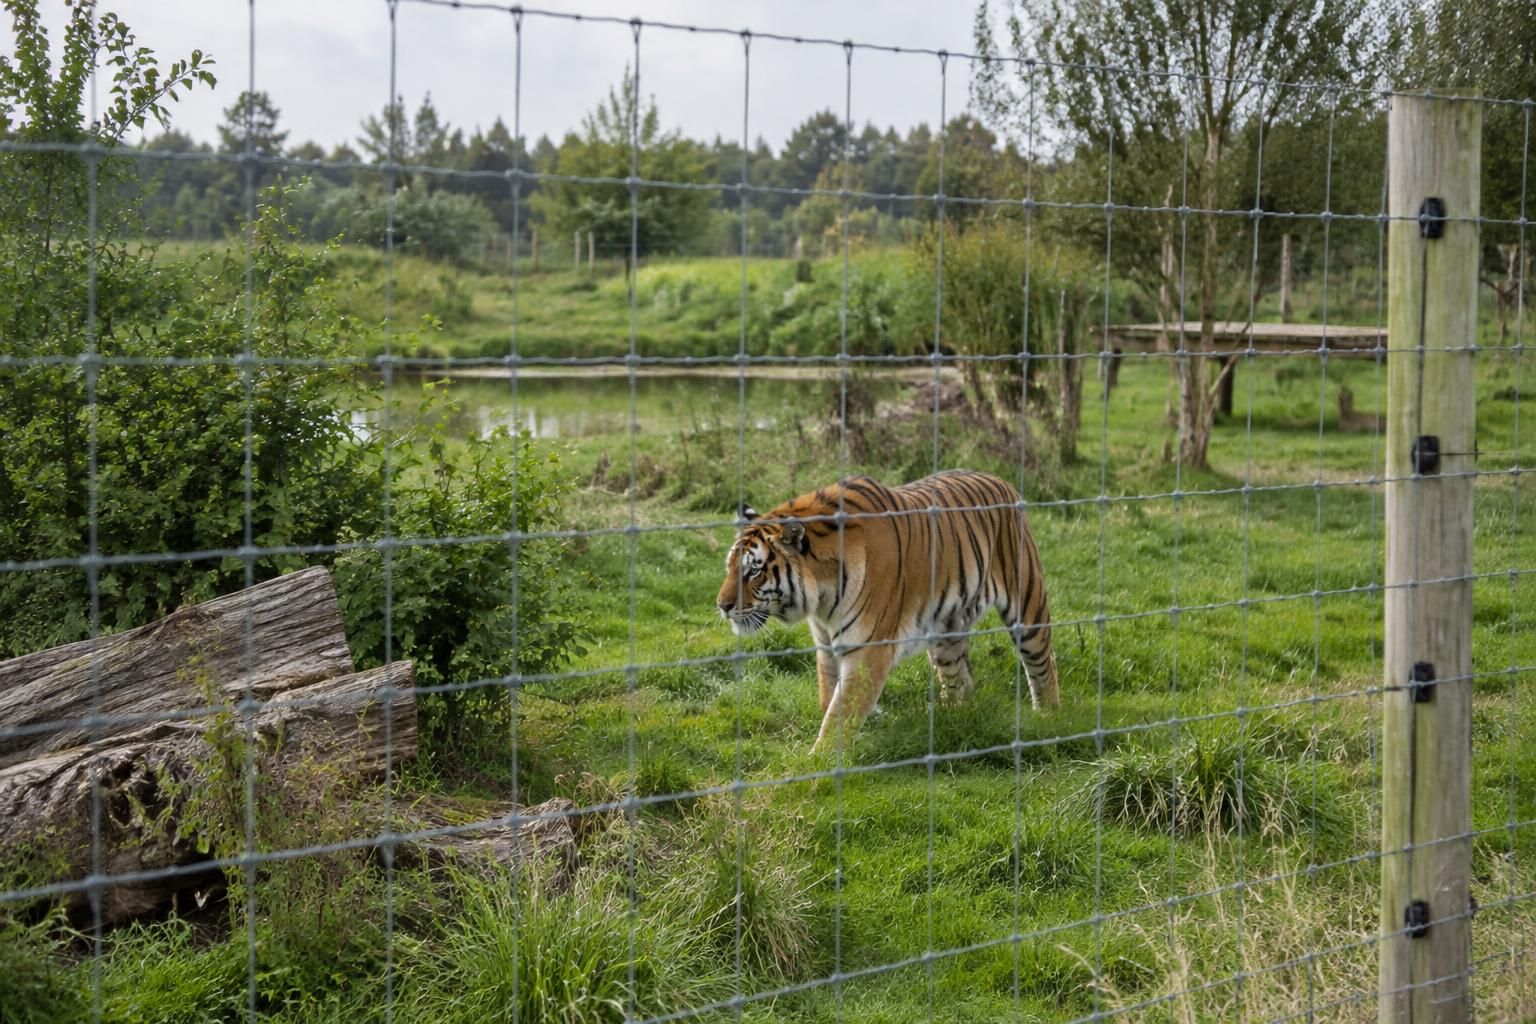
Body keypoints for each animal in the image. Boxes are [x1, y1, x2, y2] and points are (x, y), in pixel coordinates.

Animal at [715, 469, 1058, 753]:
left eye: (754, 571)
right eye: (730, 566)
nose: (722, 605)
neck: (821, 596)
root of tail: (1001, 480)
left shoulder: (868, 650)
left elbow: (841, 712)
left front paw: (818, 764)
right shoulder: (825, 645)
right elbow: (828, 698)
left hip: (1027, 603)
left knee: (1043, 663)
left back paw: (1047, 718)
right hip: (946, 631)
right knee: (958, 678)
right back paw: (950, 718)